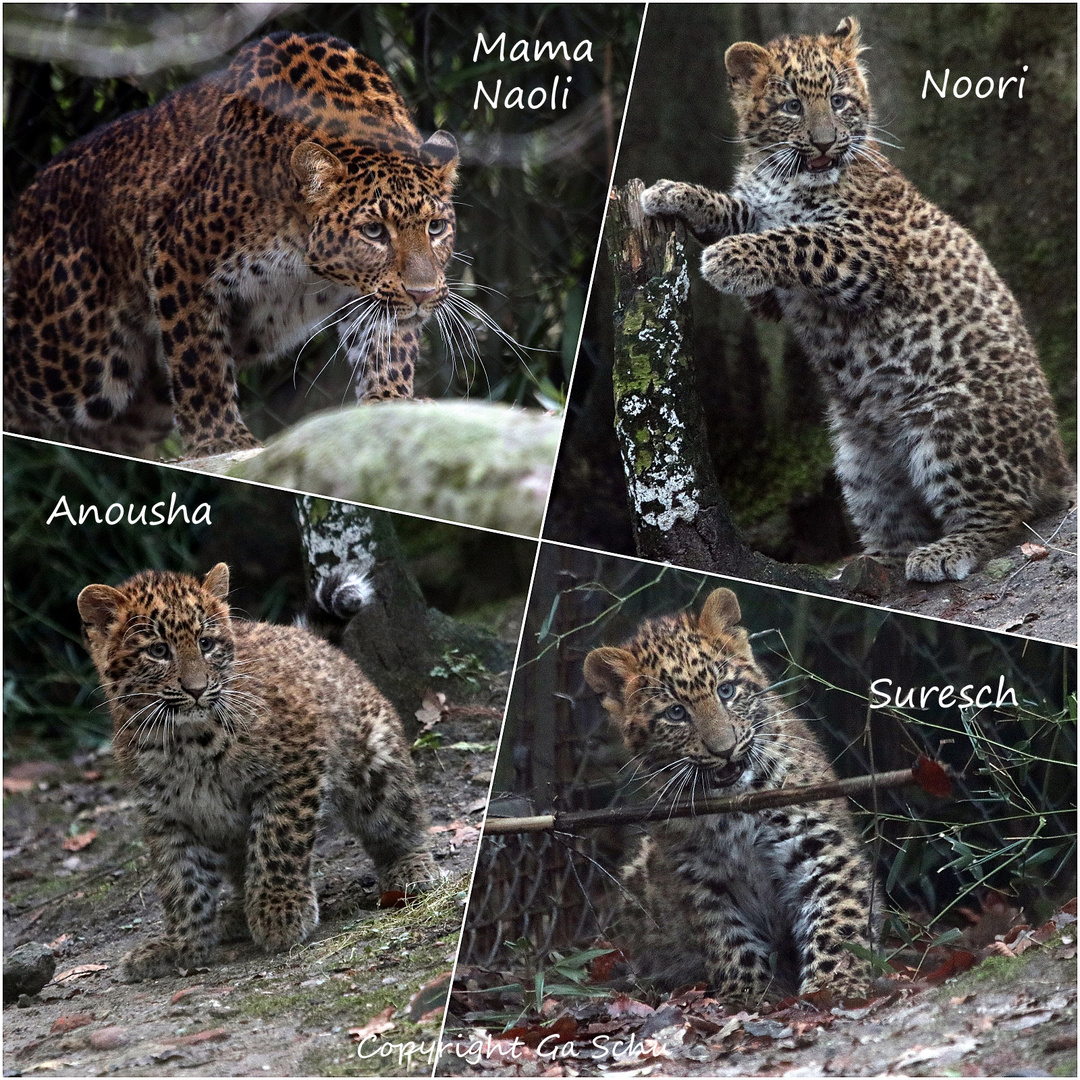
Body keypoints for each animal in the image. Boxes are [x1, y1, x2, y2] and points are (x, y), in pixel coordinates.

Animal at [5, 31, 460, 458]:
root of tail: (23, 204)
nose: (422, 294)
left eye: (435, 227)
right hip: (76, 359)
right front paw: (220, 439)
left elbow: (388, 345)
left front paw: (391, 403)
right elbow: (199, 358)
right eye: (374, 232)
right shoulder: (179, 256)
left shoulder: (371, 296)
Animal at [77, 561, 437, 982]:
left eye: (206, 644)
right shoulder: (168, 815)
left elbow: (276, 842)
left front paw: (279, 913)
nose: (196, 690)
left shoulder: (294, 768)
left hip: (375, 765)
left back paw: (410, 868)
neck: (185, 741)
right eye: (158, 651)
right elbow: (181, 881)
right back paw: (235, 912)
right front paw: (180, 945)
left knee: (399, 819)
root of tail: (309, 639)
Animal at [584, 587, 878, 1002]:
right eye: (676, 714)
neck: (735, 810)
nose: (724, 750)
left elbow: (839, 916)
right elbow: (726, 937)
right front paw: (749, 994)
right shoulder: (698, 876)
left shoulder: (819, 845)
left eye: (726, 691)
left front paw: (836, 982)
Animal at [641, 17, 1070, 583]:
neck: (782, 176)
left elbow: (796, 239)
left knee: (1006, 513)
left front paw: (727, 258)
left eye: (839, 101)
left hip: (951, 425)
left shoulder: (867, 254)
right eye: (791, 106)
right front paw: (671, 193)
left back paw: (945, 553)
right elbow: (737, 209)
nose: (825, 144)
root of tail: (1056, 459)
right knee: (898, 519)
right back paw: (872, 563)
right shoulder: (765, 224)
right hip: (861, 462)